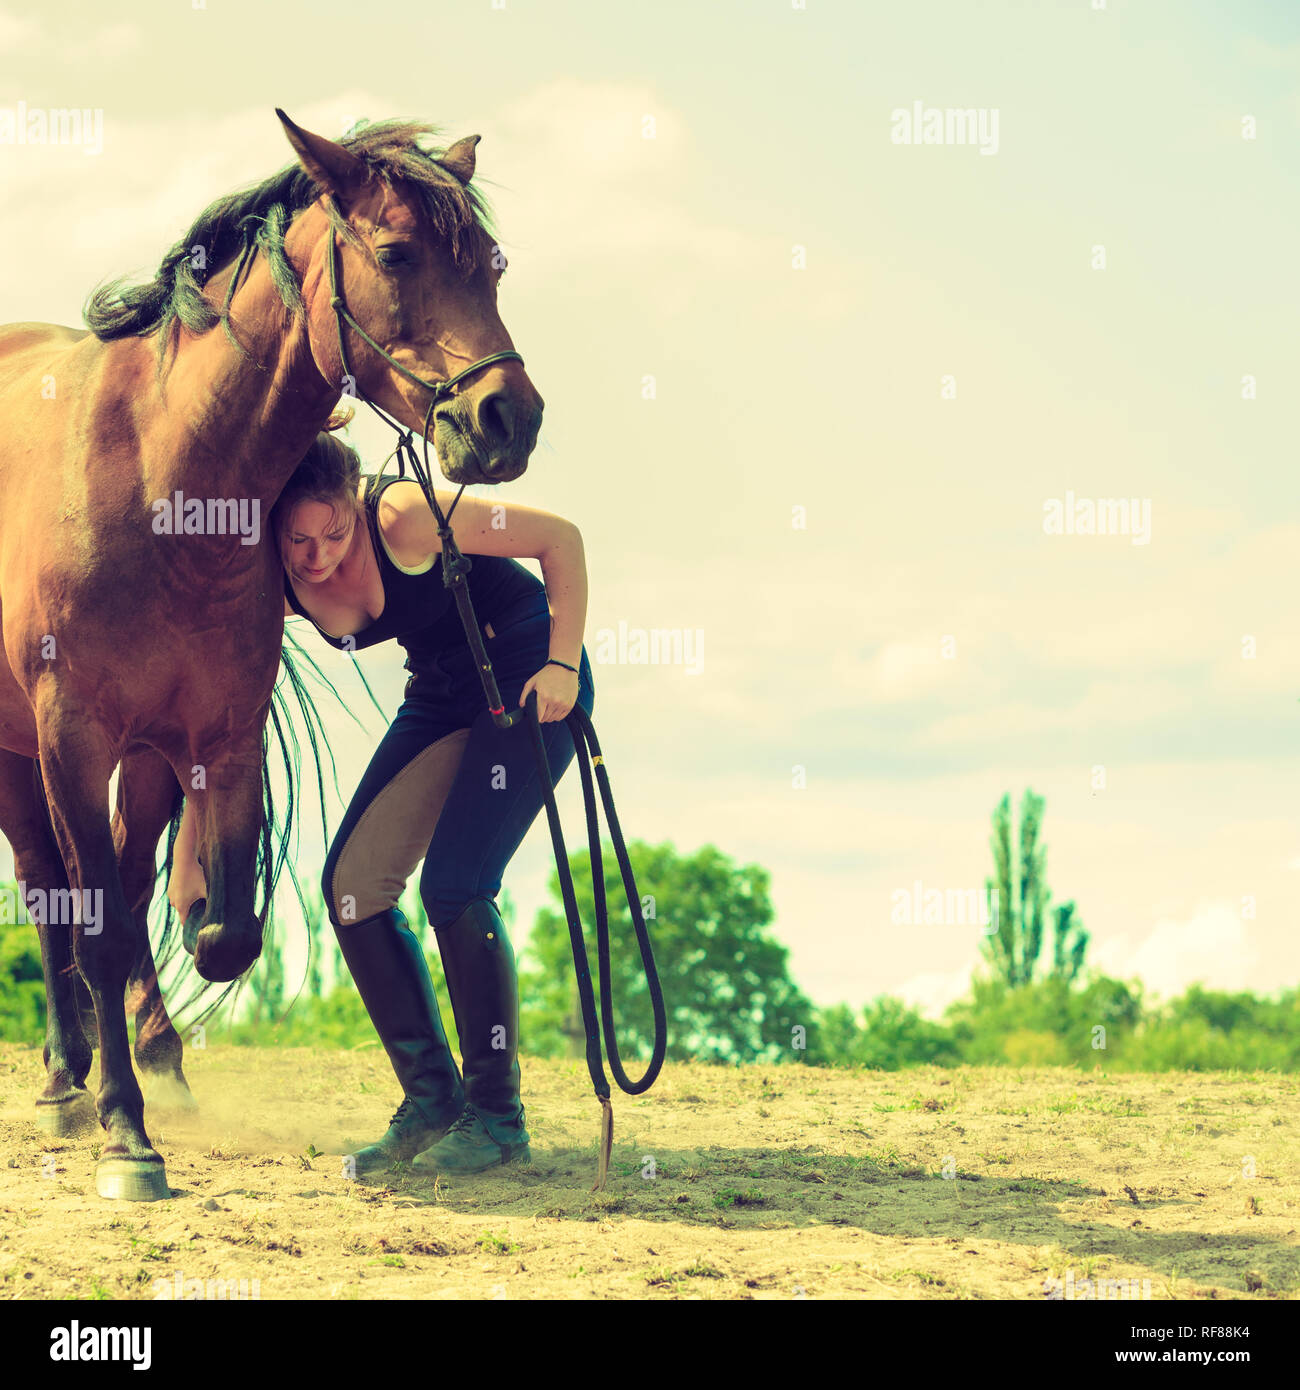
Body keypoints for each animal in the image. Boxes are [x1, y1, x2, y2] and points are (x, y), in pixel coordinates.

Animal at [0, 110, 543, 1199]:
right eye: (397, 254)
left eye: (492, 264)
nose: (508, 418)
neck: (163, 482)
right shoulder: (70, 736)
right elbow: (98, 919)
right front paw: (126, 1139)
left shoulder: (209, 736)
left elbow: (215, 930)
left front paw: (177, 992)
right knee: (48, 885)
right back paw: (68, 1083)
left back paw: (131, 1056)